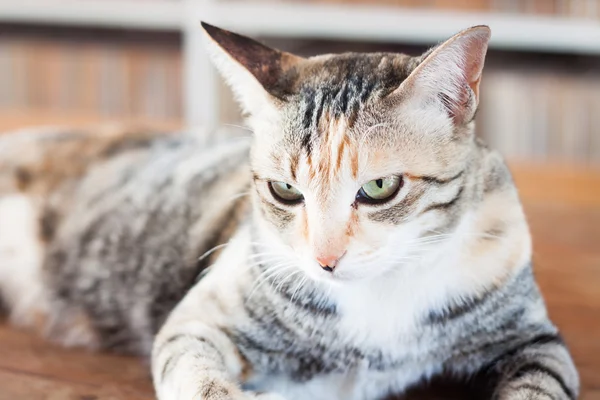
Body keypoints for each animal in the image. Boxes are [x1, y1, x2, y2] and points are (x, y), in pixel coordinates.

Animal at [0, 22, 580, 400]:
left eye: (380, 187)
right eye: (284, 190)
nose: (325, 260)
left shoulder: (535, 339)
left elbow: (541, 383)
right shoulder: (196, 324)